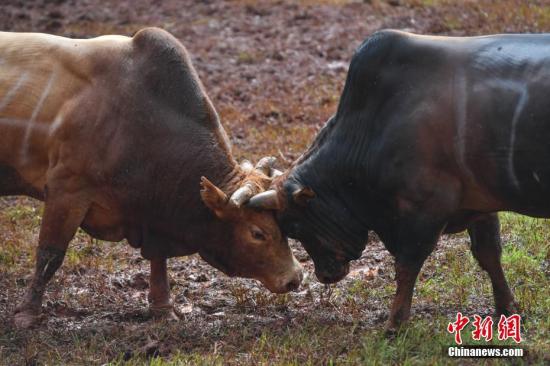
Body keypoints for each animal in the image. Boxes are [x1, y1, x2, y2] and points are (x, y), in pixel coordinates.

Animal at [251, 30, 550, 328]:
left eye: (294, 226)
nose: (323, 274)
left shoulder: (426, 208)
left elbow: (407, 265)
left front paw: (395, 323)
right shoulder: (479, 202)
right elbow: (489, 255)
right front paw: (507, 309)